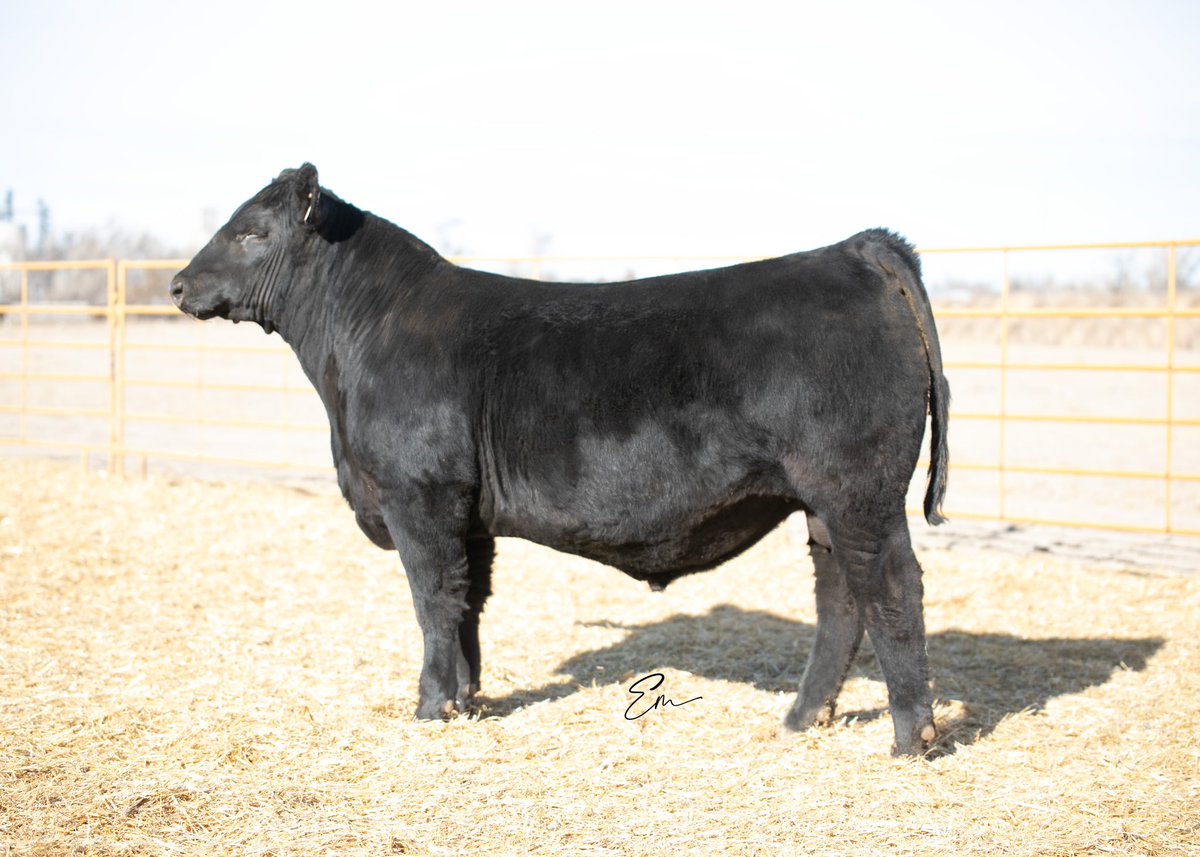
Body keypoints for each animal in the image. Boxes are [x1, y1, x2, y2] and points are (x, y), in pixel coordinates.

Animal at [170, 164, 950, 755]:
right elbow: (468, 602)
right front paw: (468, 698)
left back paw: (911, 737)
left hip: (859, 492)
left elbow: (432, 598)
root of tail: (854, 249)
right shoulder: (467, 512)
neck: (360, 338)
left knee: (891, 589)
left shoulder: (418, 495)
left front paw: (430, 706)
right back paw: (801, 719)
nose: (177, 284)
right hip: (822, 503)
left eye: (251, 231)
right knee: (840, 599)